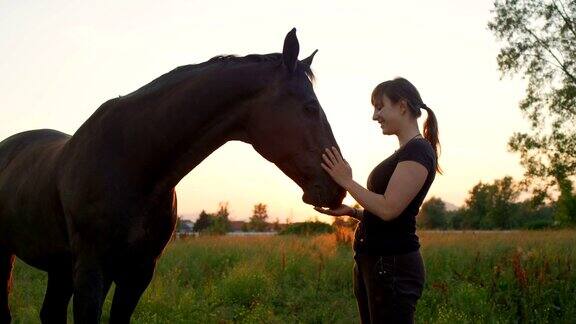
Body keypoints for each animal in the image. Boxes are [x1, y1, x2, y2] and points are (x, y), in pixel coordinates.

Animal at [0, 29, 344, 322]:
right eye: (310, 107)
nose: (336, 188)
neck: (131, 163)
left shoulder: (138, 273)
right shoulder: (91, 271)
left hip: (58, 268)